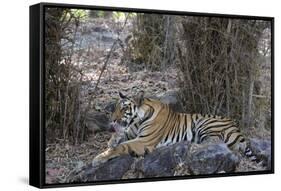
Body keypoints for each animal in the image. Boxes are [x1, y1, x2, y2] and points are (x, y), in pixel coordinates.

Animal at [91, 91, 256, 166]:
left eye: (124, 109)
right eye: (115, 107)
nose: (112, 119)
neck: (137, 120)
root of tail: (237, 128)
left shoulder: (144, 141)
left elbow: (122, 147)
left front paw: (99, 158)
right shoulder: (132, 133)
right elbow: (119, 137)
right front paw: (112, 141)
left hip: (206, 124)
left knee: (214, 143)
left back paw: (191, 146)